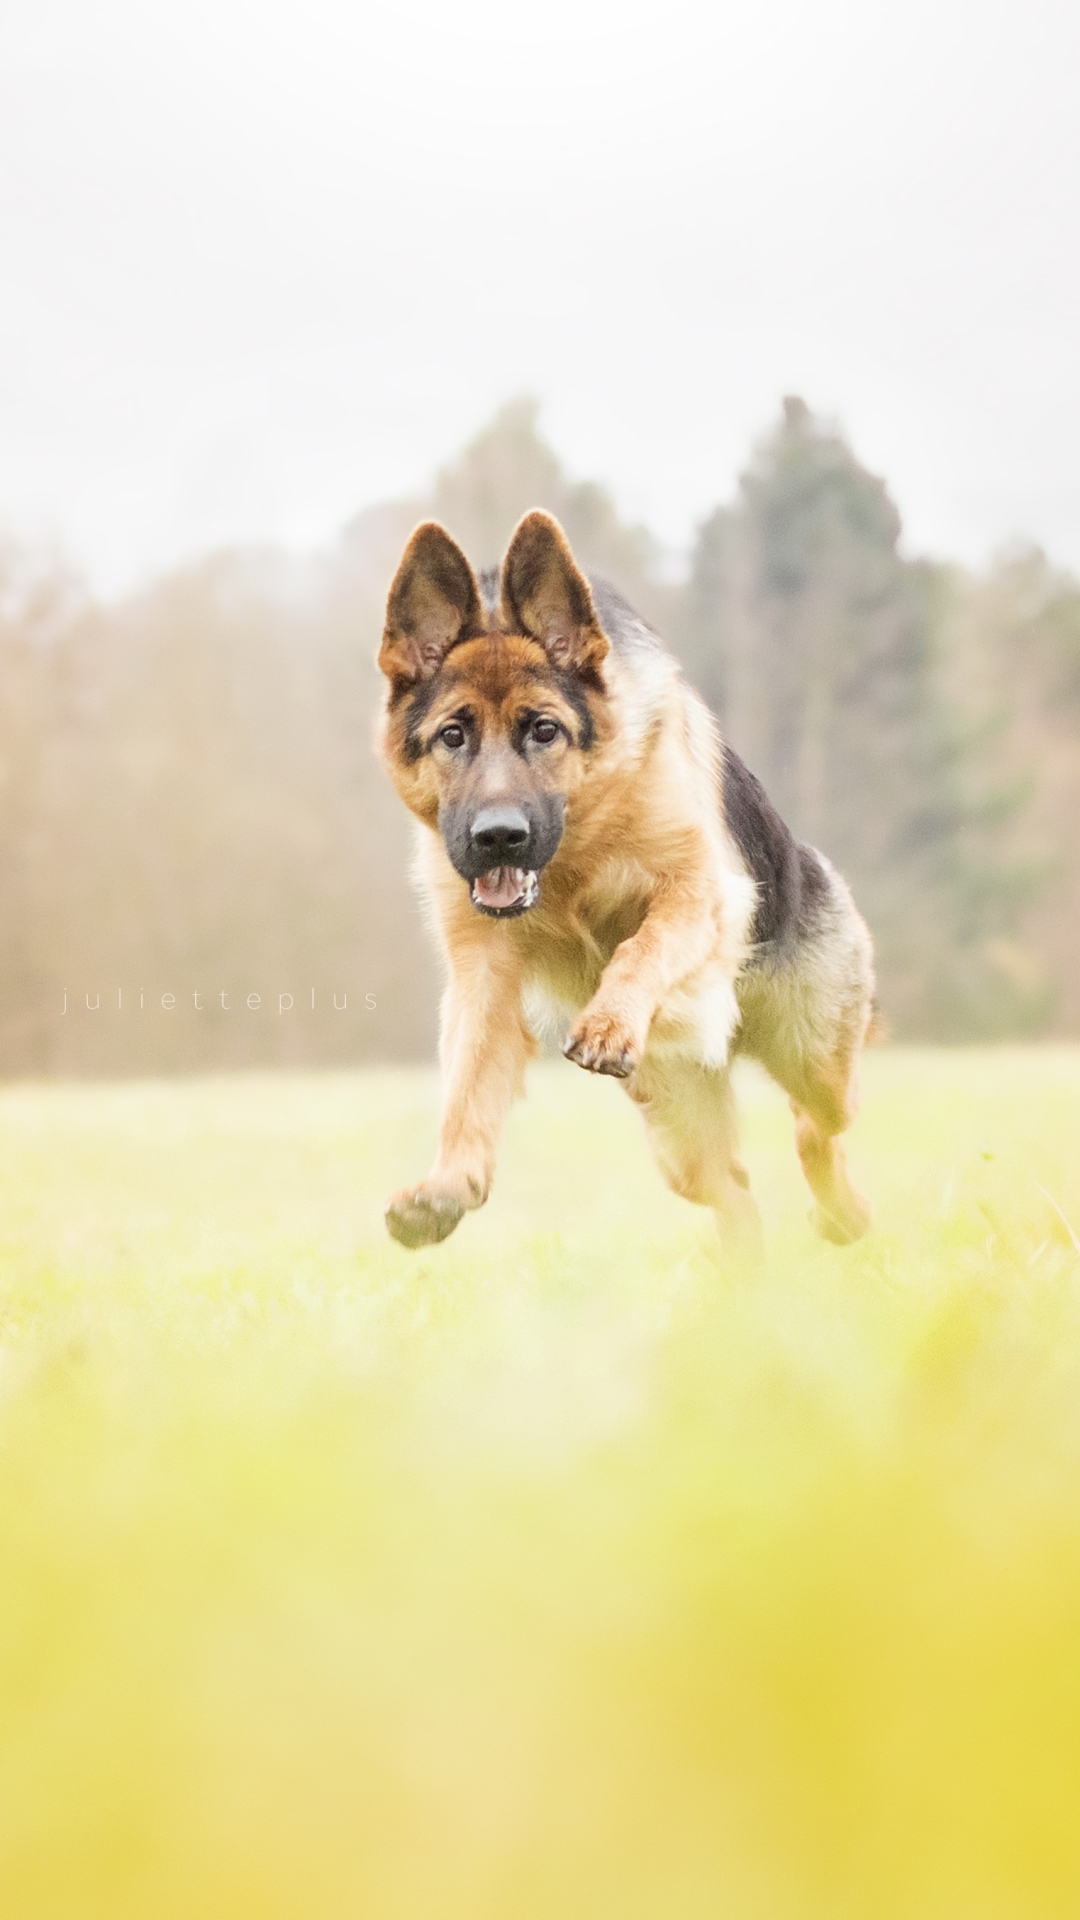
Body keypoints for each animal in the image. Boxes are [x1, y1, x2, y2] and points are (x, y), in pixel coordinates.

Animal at [374, 514, 868, 1259]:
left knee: (820, 1127)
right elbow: (467, 1085)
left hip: (813, 1057)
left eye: (544, 729)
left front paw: (609, 1021)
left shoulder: (698, 893)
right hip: (677, 1131)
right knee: (731, 1190)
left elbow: (644, 943)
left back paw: (845, 1217)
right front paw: (448, 1185)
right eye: (452, 735)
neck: (572, 859)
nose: (498, 836)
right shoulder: (483, 975)